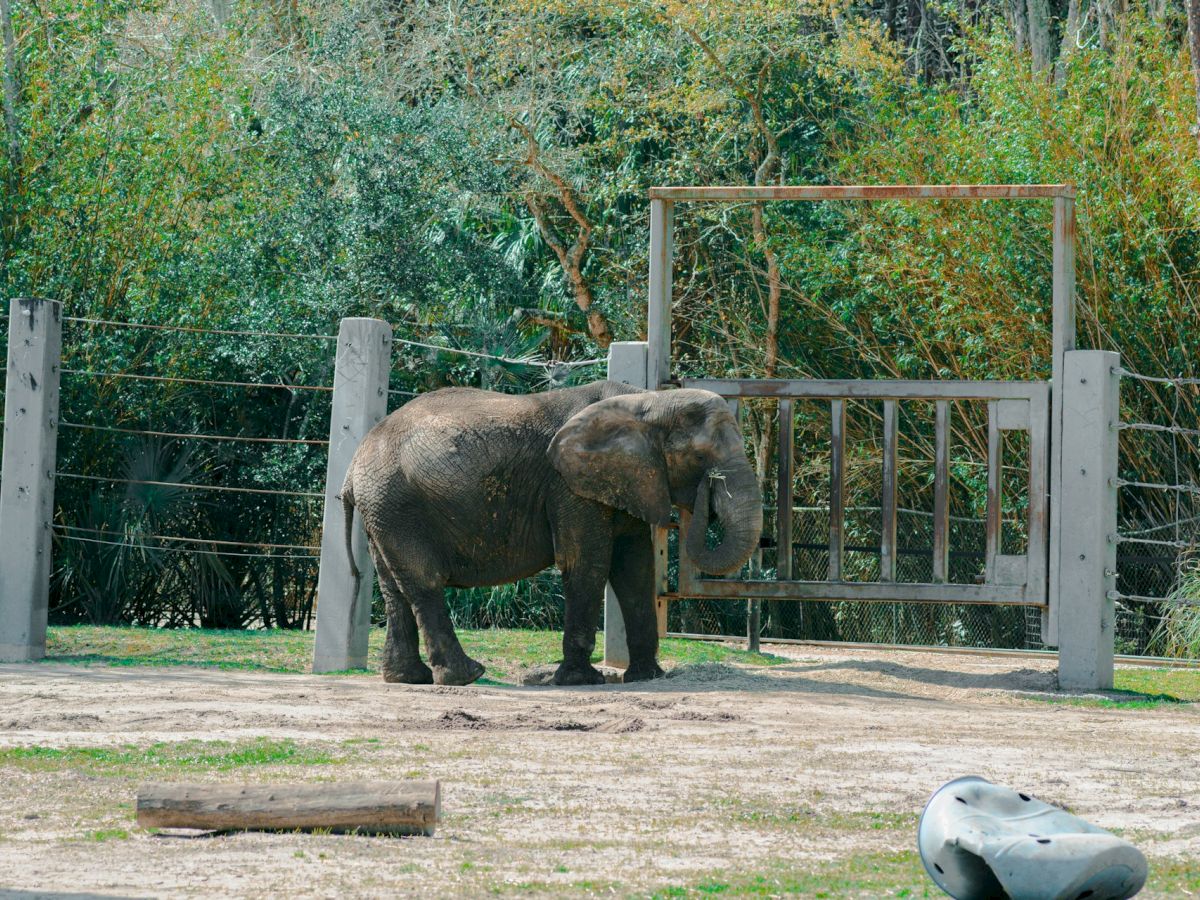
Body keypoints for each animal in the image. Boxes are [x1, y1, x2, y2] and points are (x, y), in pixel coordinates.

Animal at [340, 376, 758, 686]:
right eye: (699, 457)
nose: (705, 496)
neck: (649, 401)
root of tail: (353, 465)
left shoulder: (628, 478)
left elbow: (634, 567)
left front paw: (647, 677)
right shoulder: (568, 485)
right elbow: (587, 562)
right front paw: (580, 681)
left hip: (383, 511)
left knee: (395, 588)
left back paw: (408, 679)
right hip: (396, 503)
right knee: (423, 582)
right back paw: (466, 675)